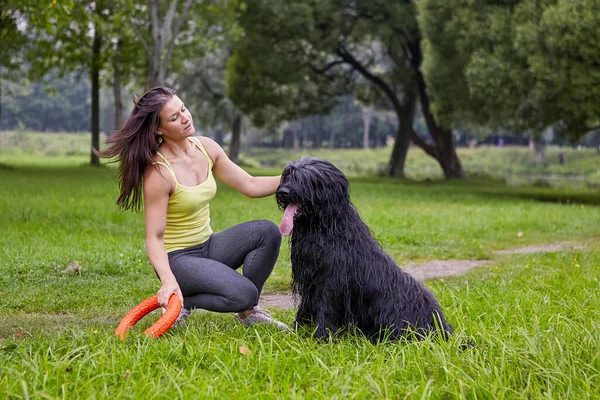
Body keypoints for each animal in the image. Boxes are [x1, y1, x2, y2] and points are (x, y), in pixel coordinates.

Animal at [276, 156, 454, 340]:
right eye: (288, 174)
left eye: (306, 179)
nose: (283, 192)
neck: (321, 227)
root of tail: (441, 327)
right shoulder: (310, 279)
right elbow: (304, 307)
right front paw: (297, 330)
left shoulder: (332, 281)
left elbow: (326, 308)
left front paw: (322, 337)